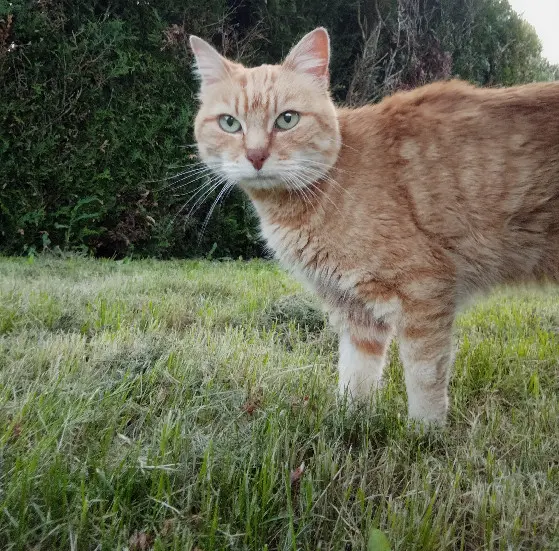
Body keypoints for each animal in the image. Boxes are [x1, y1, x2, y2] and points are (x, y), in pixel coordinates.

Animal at [189, 28, 559, 424]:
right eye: (229, 123)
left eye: (287, 119)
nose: (256, 156)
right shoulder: (356, 312)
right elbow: (356, 377)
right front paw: (347, 422)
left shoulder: (423, 291)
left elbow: (424, 378)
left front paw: (424, 433)